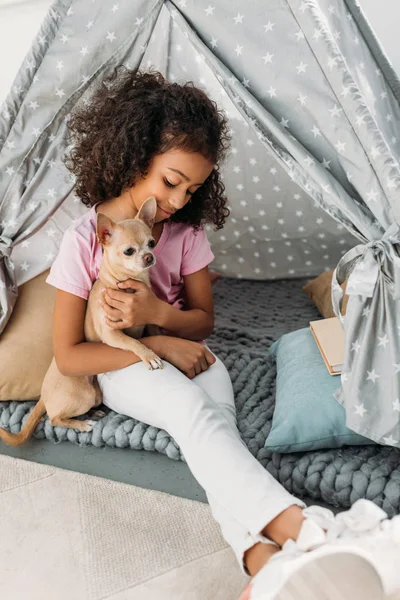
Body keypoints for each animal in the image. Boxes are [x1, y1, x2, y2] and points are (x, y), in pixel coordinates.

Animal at [0, 196, 162, 446]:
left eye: (152, 243)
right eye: (128, 251)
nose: (149, 257)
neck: (128, 283)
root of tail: (42, 396)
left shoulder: (145, 321)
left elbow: (151, 329)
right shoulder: (112, 334)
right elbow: (133, 342)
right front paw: (149, 356)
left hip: (95, 395)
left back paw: (94, 414)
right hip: (84, 396)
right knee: (54, 419)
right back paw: (83, 424)